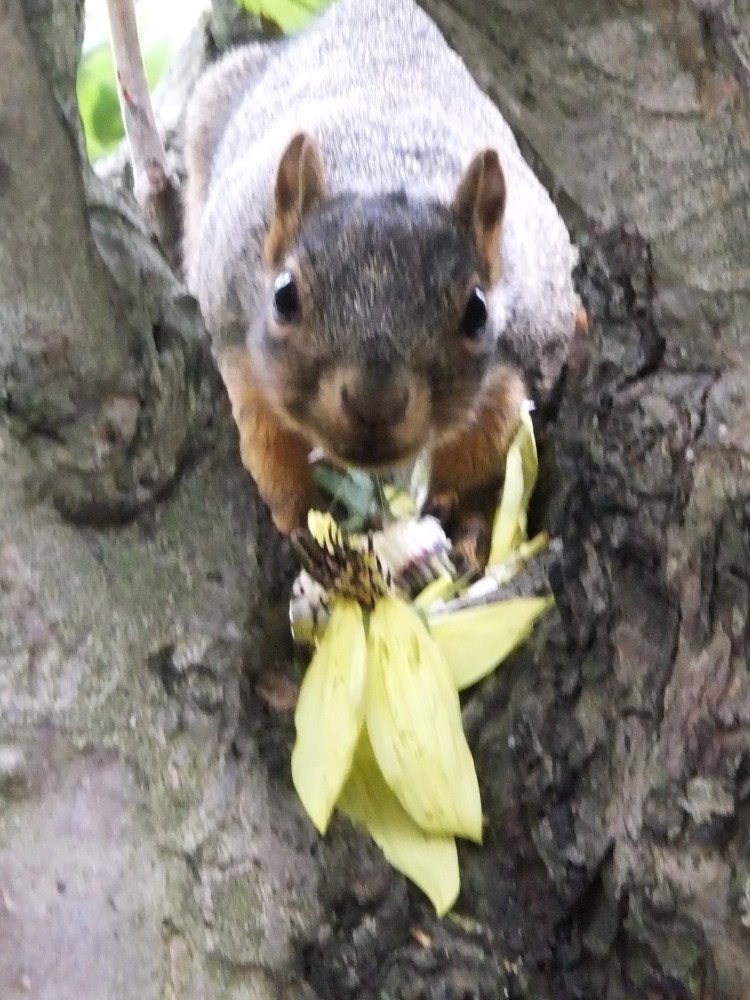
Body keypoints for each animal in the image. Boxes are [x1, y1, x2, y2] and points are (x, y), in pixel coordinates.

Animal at [183, 0, 581, 571]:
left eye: (477, 312)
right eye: (284, 296)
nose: (375, 403)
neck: (382, 172)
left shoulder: (516, 361)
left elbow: (484, 456)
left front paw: (469, 525)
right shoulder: (237, 337)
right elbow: (268, 444)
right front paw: (300, 518)